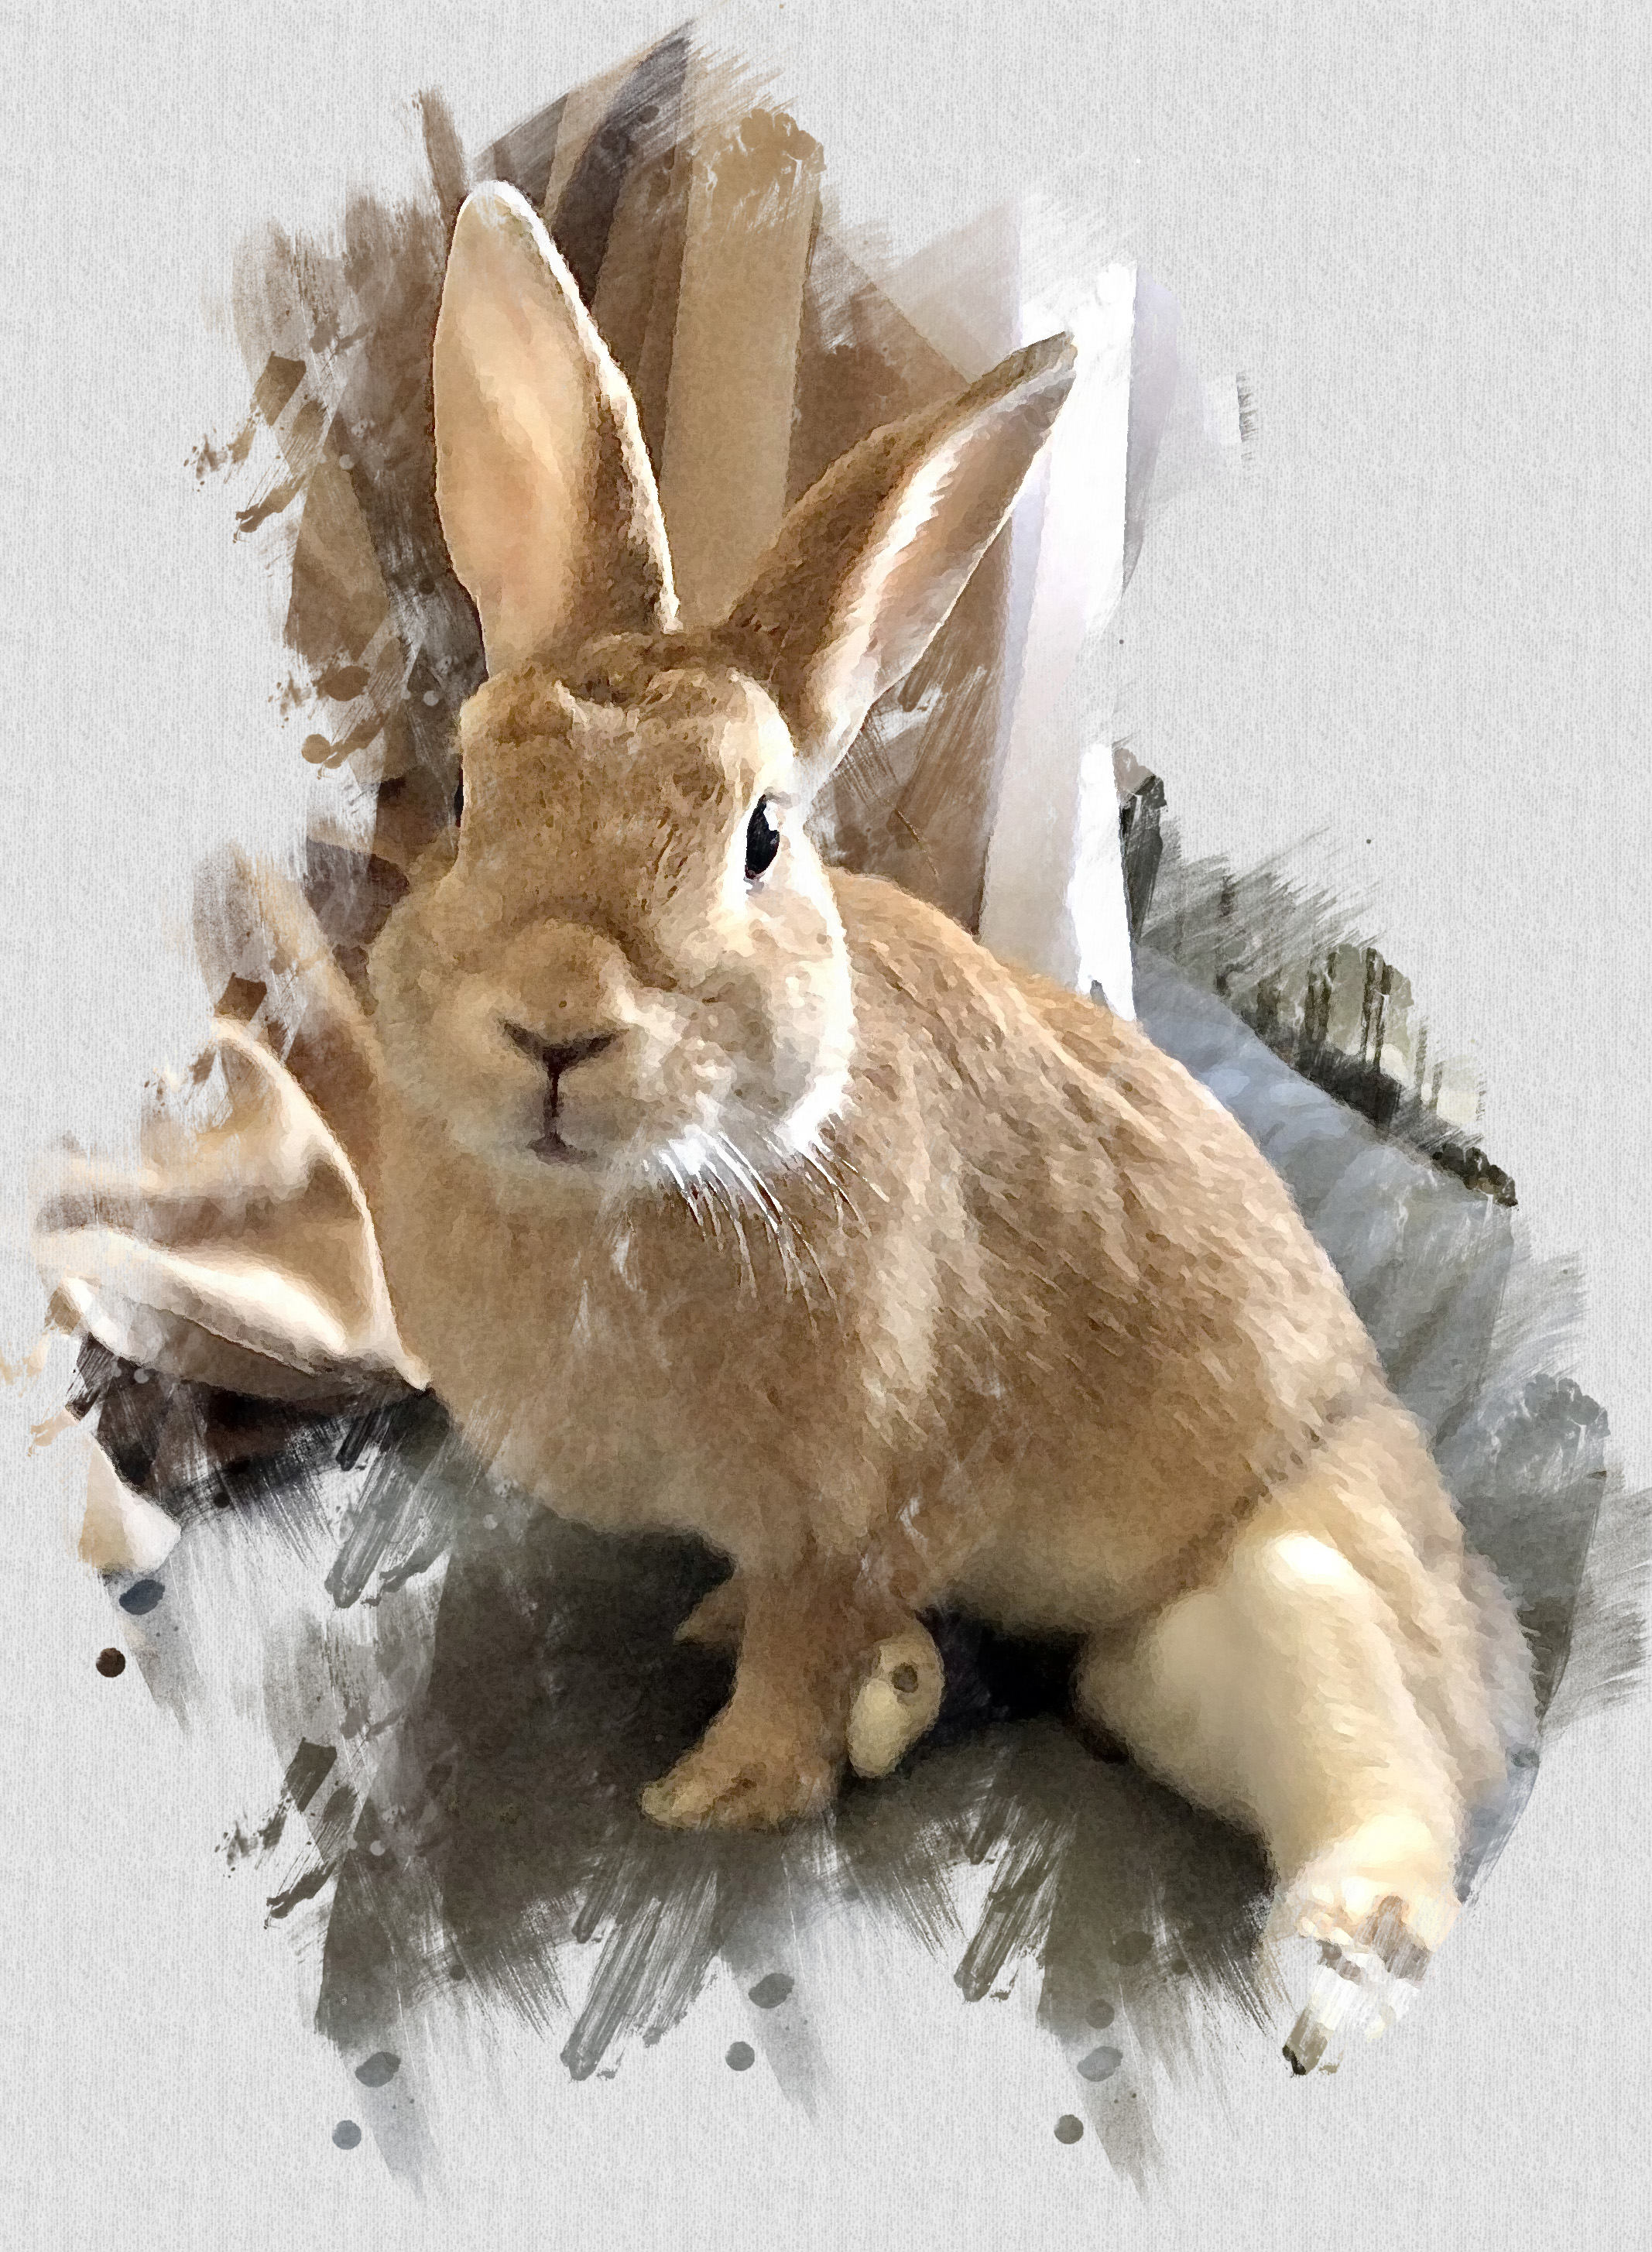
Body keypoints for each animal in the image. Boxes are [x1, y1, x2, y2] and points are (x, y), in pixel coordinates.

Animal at [359, 182, 1530, 2068]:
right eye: (467, 791)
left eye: (762, 836)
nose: (554, 1019)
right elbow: (784, 1613)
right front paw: (742, 1653)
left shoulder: (855, 1497)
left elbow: (800, 1638)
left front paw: (721, 1792)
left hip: (1297, 1589)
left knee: (1387, 1786)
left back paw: (1326, 1973)